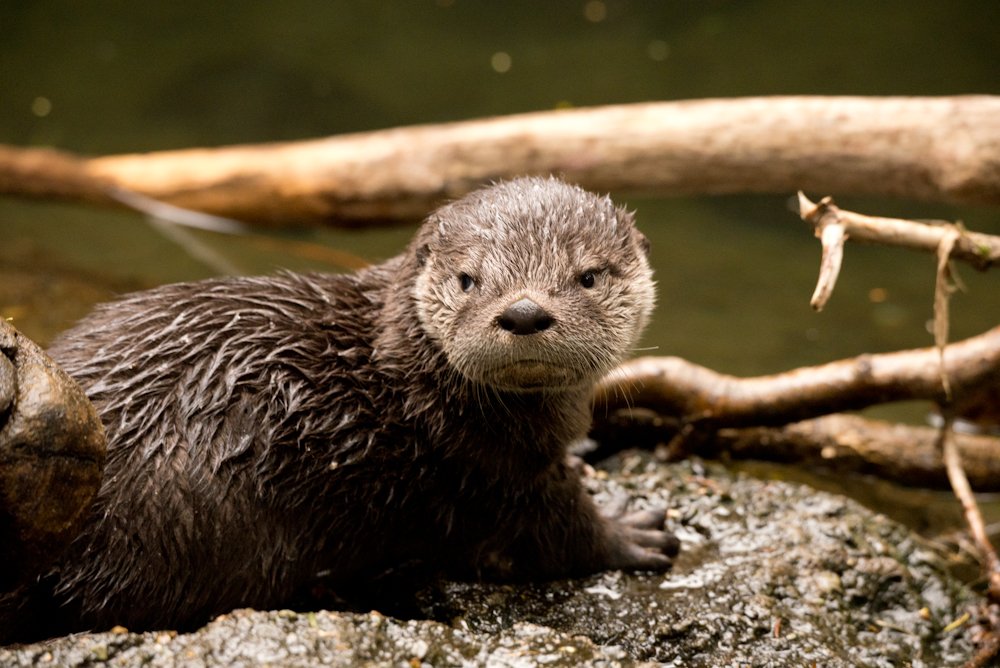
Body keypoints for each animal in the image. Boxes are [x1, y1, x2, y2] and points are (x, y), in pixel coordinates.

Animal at [3, 177, 677, 642]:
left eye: (589, 276)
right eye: (469, 279)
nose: (525, 312)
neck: (415, 375)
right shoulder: (483, 467)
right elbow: (551, 535)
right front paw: (630, 532)